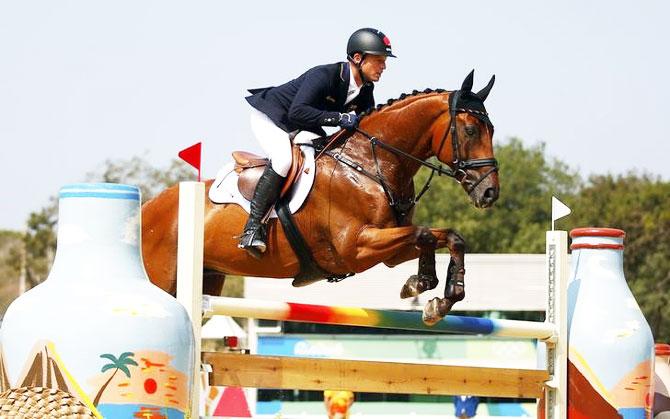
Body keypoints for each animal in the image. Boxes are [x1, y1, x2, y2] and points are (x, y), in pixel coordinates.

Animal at [142, 72, 498, 326]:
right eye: (470, 131)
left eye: (492, 130)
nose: (490, 192)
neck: (369, 163)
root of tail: (146, 209)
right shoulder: (357, 247)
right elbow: (424, 233)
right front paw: (423, 286)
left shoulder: (390, 249)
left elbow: (447, 236)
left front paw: (436, 294)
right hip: (162, 278)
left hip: (209, 277)